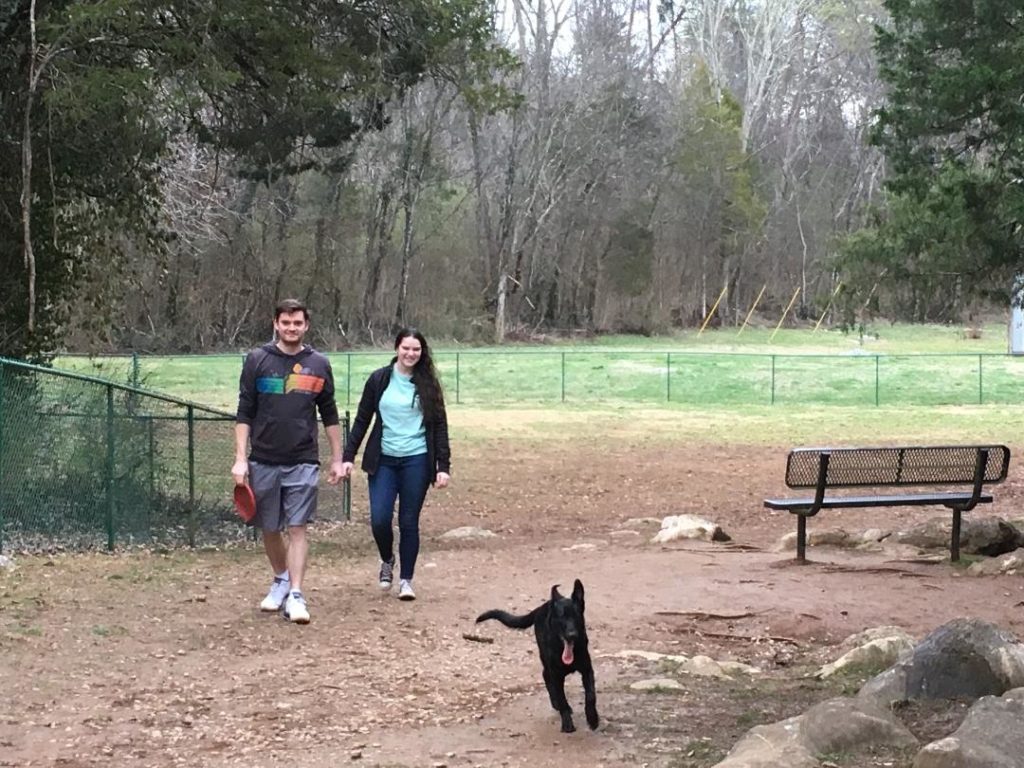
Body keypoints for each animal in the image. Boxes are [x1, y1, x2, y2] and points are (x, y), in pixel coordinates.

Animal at [473, 581, 598, 733]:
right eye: (561, 617)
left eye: (576, 616)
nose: (572, 635)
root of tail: (543, 606)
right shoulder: (556, 675)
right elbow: (562, 699)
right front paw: (567, 723)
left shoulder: (587, 670)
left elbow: (591, 696)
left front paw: (593, 719)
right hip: (545, 658)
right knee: (546, 676)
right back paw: (557, 704)